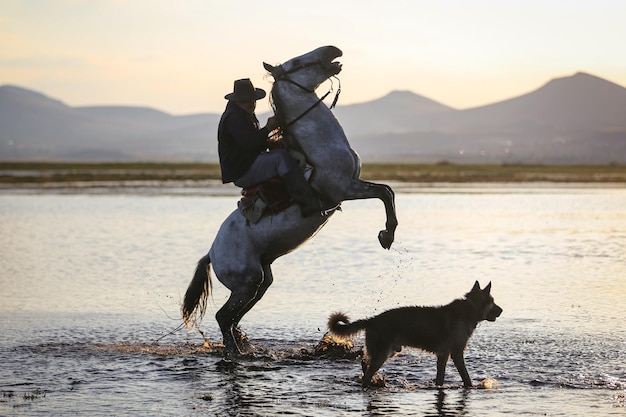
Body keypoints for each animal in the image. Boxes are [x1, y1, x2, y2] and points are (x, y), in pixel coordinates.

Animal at [182, 46, 394, 354]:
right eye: (296, 62)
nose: (333, 49)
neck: (320, 145)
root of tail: (211, 254)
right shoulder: (345, 188)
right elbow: (385, 193)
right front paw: (386, 235)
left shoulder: (353, 186)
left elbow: (387, 191)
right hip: (247, 281)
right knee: (224, 316)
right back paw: (238, 352)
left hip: (261, 279)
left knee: (234, 317)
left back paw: (243, 344)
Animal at [330, 280, 500, 386]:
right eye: (492, 302)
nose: (502, 310)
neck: (470, 308)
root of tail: (371, 320)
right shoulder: (456, 354)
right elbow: (466, 376)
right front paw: (471, 386)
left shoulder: (443, 355)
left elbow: (440, 377)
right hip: (383, 353)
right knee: (367, 372)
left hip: (386, 352)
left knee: (365, 365)